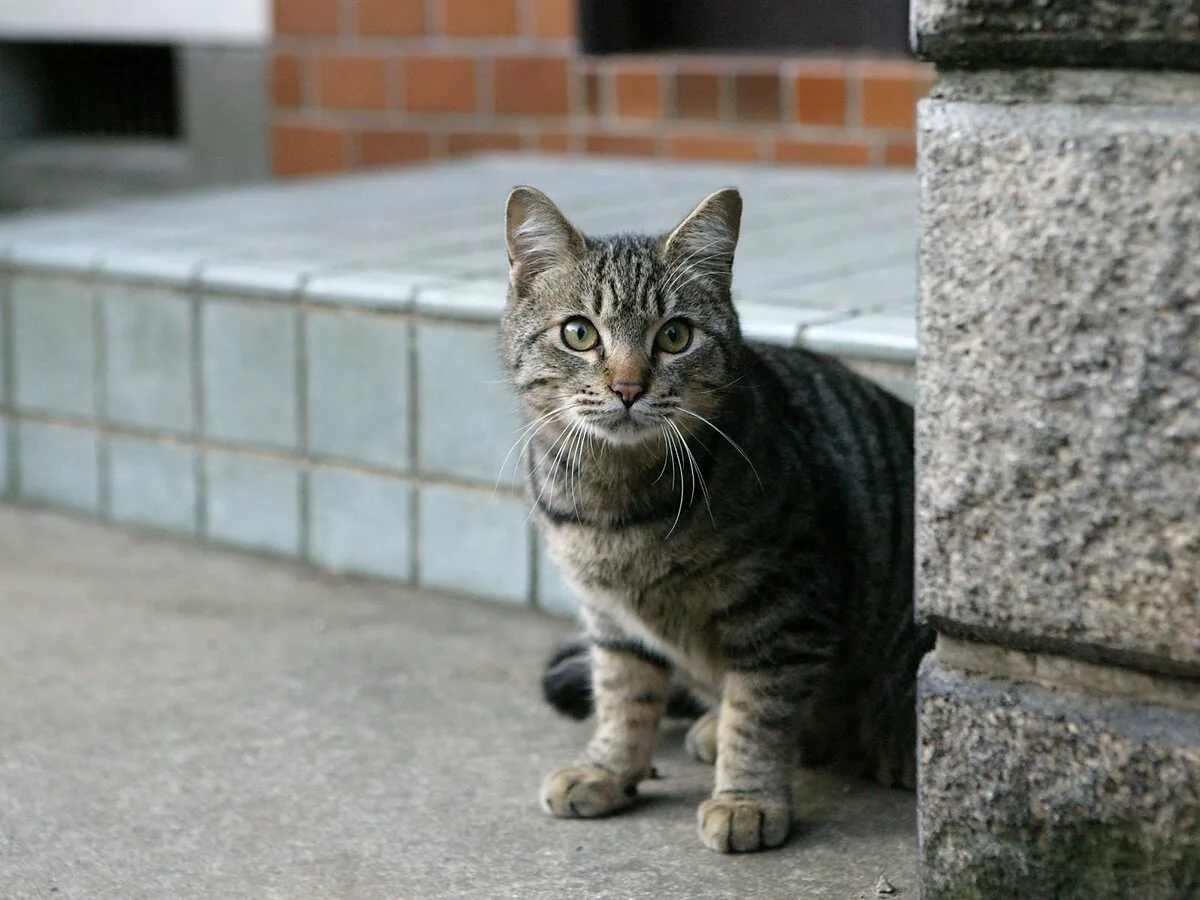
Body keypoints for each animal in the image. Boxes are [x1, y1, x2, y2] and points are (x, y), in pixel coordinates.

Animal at [501, 184, 931, 854]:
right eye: (578, 333)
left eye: (675, 336)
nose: (628, 387)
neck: (617, 503)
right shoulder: (610, 618)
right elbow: (622, 695)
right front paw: (608, 769)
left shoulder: (785, 611)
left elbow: (759, 713)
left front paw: (746, 798)